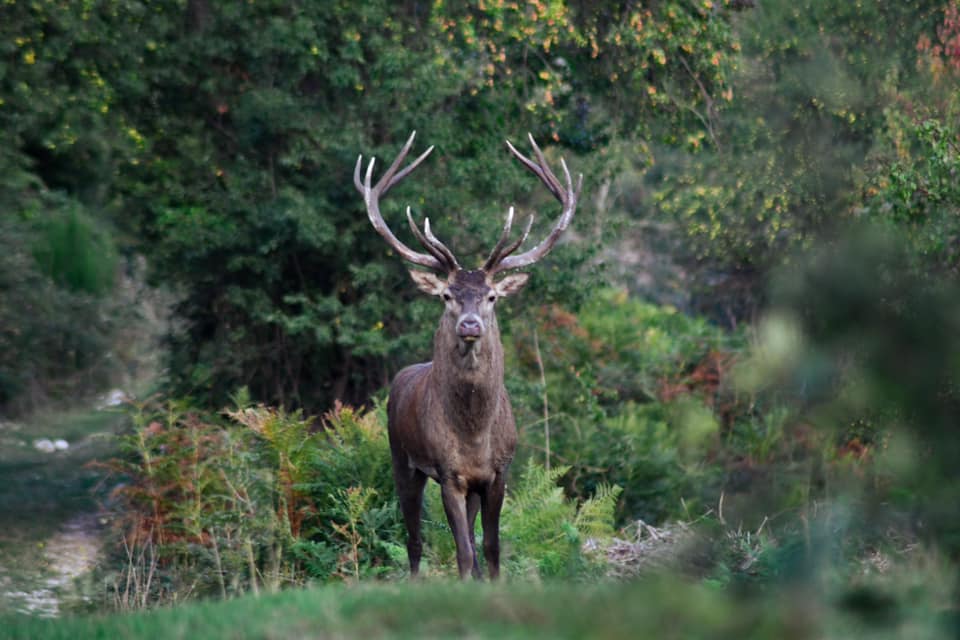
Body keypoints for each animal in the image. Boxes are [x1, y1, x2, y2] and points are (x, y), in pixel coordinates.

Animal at [352, 131, 576, 580]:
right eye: (446, 295)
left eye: (491, 296)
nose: (470, 325)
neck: (473, 435)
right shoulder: (448, 473)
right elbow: (462, 551)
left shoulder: (498, 473)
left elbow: (489, 546)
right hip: (401, 458)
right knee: (414, 538)